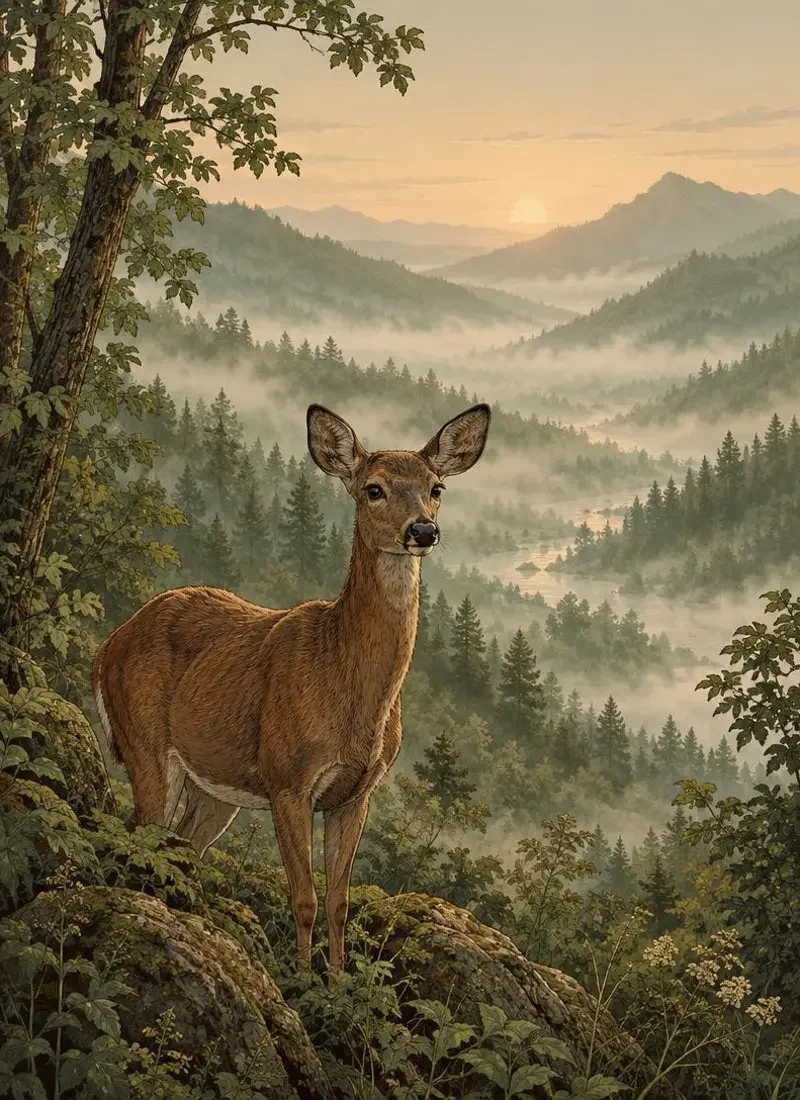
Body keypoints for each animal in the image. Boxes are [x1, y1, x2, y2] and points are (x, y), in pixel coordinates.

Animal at [92, 401, 491, 971]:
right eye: (373, 488)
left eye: (436, 487)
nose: (423, 530)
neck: (347, 686)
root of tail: (106, 648)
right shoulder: (287, 780)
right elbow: (304, 898)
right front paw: (301, 981)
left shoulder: (356, 793)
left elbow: (340, 902)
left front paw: (337, 980)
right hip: (144, 743)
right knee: (138, 834)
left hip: (215, 786)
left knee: (182, 847)